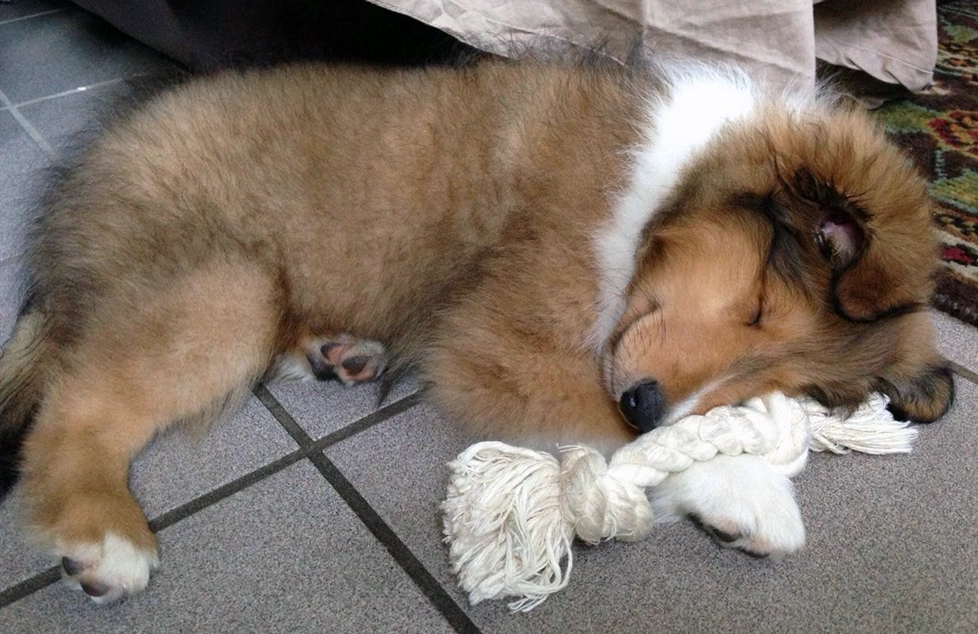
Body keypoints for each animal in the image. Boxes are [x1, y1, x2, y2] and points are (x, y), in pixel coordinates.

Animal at [0, 59, 948, 604]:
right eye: (756, 302)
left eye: (775, 376)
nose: (646, 404)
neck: (660, 189)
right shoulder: (497, 346)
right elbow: (610, 429)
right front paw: (748, 492)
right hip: (220, 283)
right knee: (81, 400)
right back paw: (101, 534)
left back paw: (340, 352)